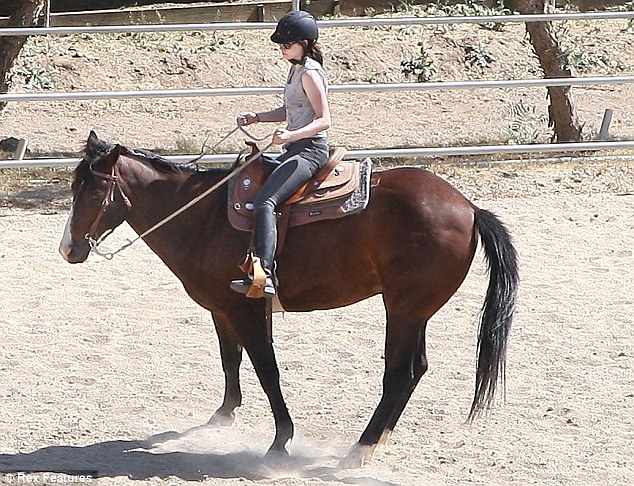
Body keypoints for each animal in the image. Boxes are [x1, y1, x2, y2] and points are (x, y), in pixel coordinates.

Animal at [59, 132, 516, 468]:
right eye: (73, 187)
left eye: (95, 192)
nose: (68, 249)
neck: (204, 217)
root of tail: (470, 208)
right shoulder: (222, 309)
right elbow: (231, 359)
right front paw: (224, 415)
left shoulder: (246, 309)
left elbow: (267, 369)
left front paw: (280, 441)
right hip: (415, 312)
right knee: (416, 369)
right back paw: (378, 439)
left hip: (402, 310)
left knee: (400, 372)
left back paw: (360, 448)